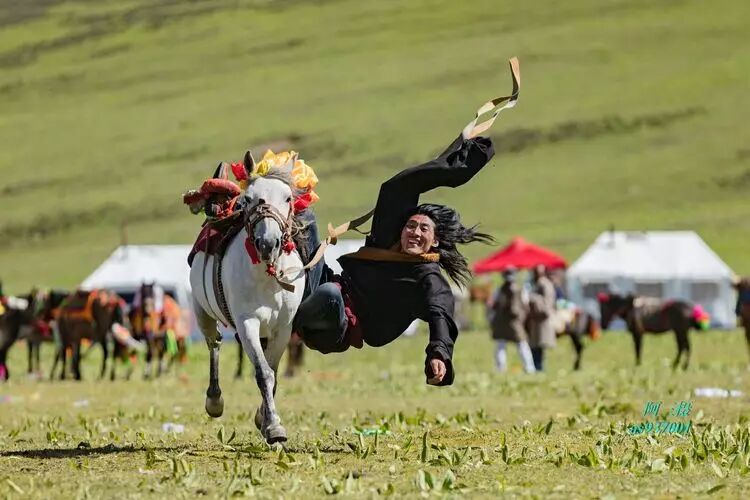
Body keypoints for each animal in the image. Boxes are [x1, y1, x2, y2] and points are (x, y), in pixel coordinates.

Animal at [189, 153, 305, 444]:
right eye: (249, 198)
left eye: (288, 198)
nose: (268, 244)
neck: (268, 278)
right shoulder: (247, 323)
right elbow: (263, 373)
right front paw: (273, 427)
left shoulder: (283, 328)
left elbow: (273, 371)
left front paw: (264, 419)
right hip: (202, 313)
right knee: (214, 343)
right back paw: (214, 400)